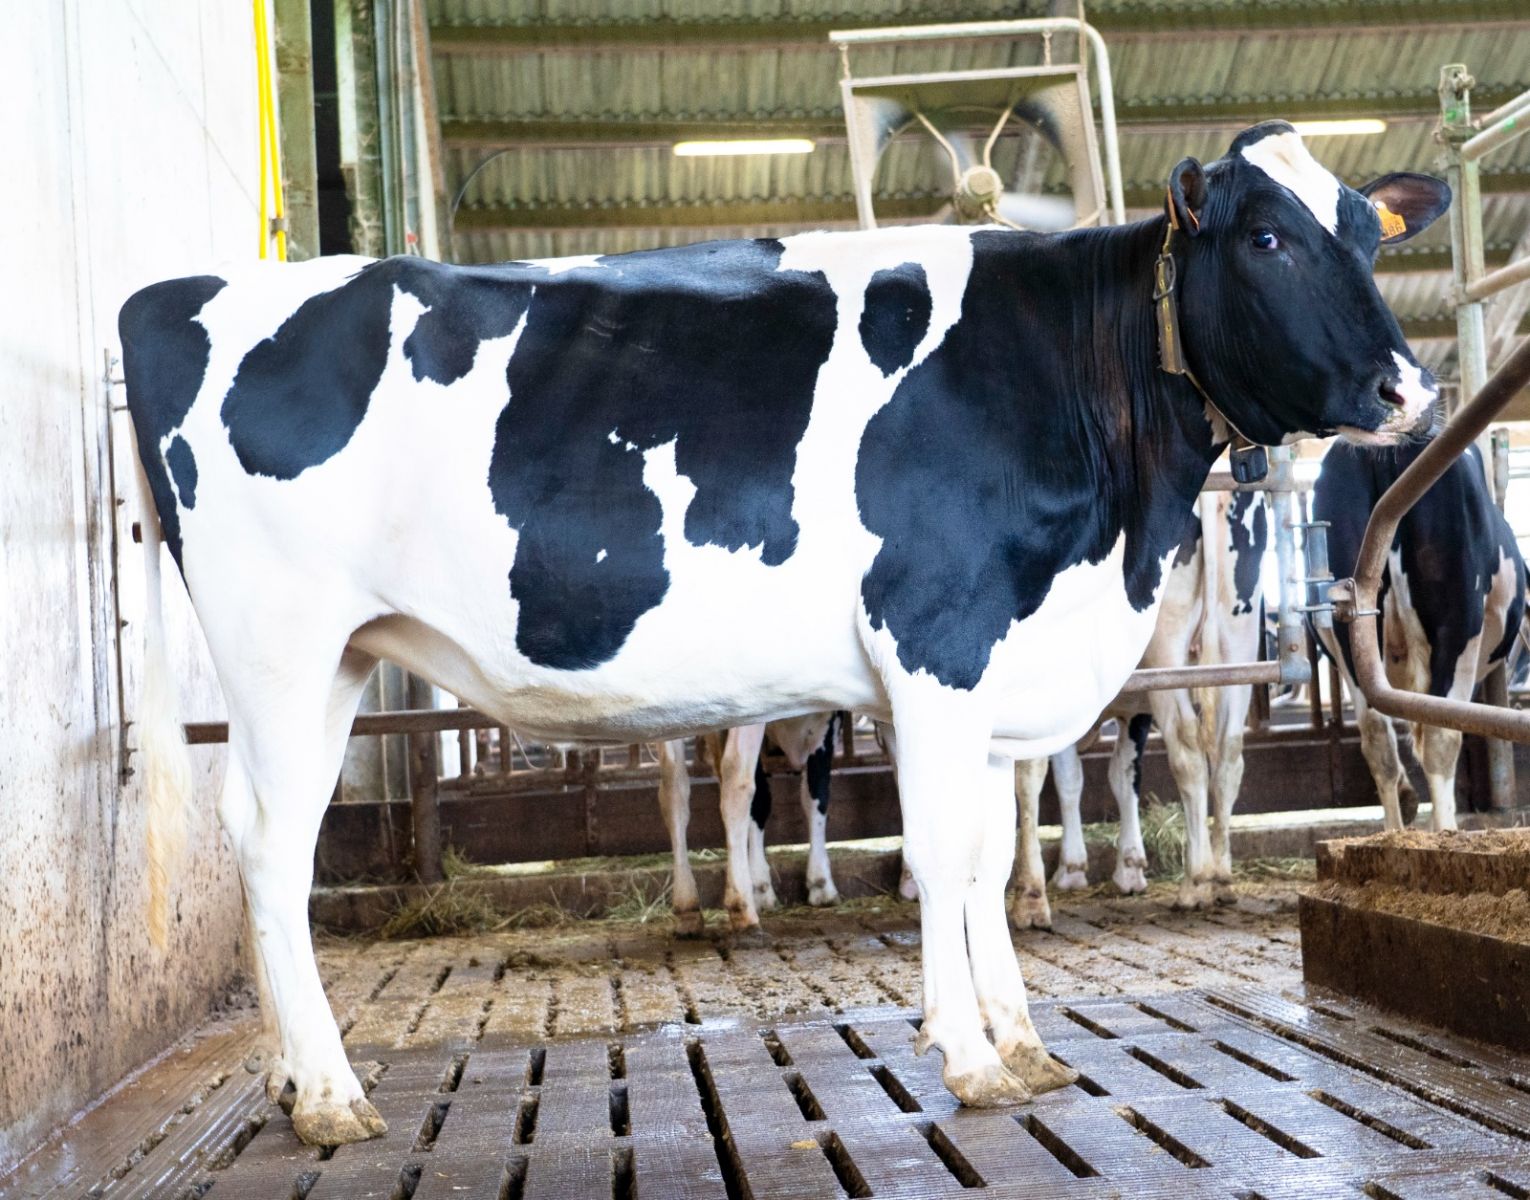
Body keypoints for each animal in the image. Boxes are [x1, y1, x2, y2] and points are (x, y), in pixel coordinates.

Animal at [656, 712, 839, 935]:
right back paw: (744, 909)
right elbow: (766, 799)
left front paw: (819, 881)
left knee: (673, 787)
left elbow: (815, 794)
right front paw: (763, 887)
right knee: (736, 778)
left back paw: (688, 909)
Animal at [1011, 489, 1270, 926]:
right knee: (1229, 757)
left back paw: (1195, 883)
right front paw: (1119, 867)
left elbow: (1043, 776)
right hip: (1239, 643)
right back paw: (1221, 879)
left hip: (1166, 644)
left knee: (1188, 753)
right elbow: (1115, 775)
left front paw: (1035, 892)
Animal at [1314, 440, 1526, 830]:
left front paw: (1407, 797)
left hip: (1352, 631)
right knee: (1442, 733)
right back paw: (1444, 830)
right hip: (1458, 624)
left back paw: (1394, 831)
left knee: (1377, 736)